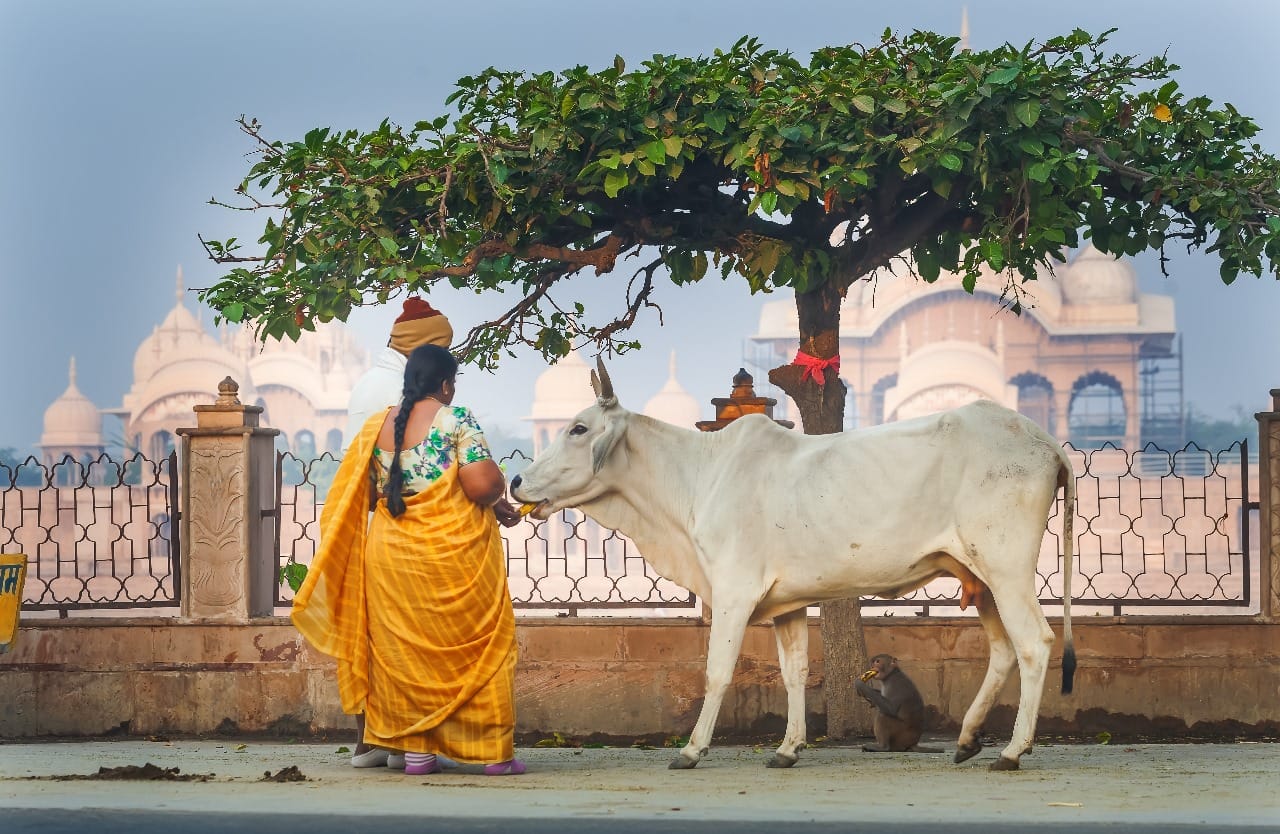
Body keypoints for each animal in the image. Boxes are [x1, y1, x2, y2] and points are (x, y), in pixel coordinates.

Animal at [510, 358, 1075, 772]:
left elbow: (717, 671)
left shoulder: (735, 591)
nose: (516, 482)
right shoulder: (787, 604)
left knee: (1034, 644)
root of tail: (1042, 439)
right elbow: (795, 672)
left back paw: (1012, 751)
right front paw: (788, 748)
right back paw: (967, 740)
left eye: (579, 428)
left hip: (1007, 568)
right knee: (1002, 651)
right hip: (979, 577)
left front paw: (692, 749)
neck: (698, 474)